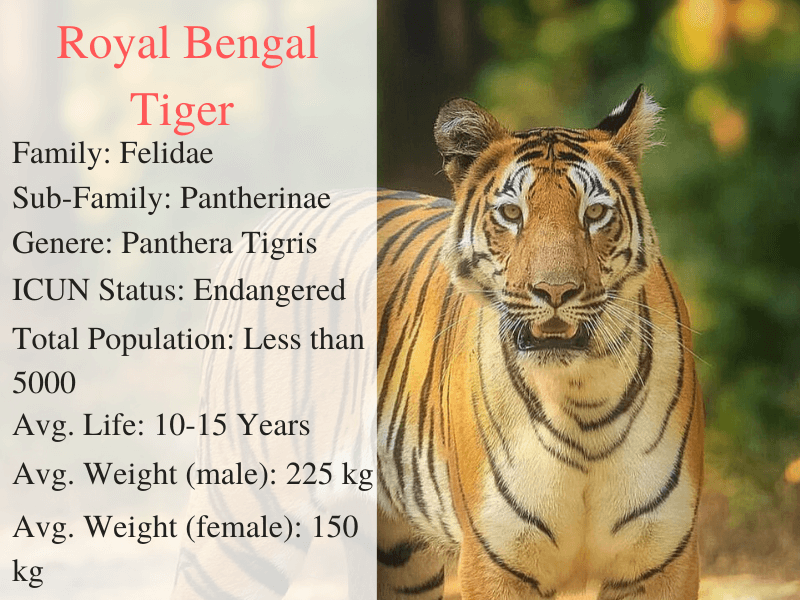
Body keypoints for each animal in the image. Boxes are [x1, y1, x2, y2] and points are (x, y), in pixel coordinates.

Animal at [377, 86, 704, 600]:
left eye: (595, 213)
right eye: (512, 213)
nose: (554, 291)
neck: (583, 396)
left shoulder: (661, 562)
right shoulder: (494, 563)